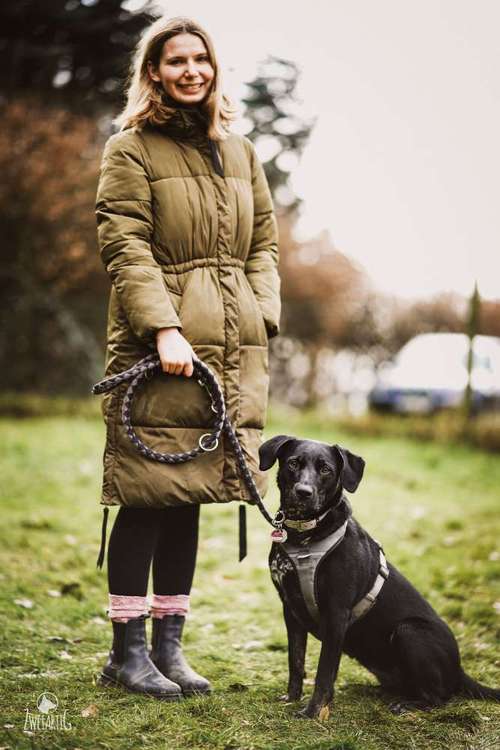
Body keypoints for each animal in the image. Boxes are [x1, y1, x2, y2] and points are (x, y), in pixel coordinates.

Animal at [260, 438, 498, 720]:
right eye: (293, 463)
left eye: (326, 469)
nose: (303, 492)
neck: (304, 536)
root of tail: (460, 669)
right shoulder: (291, 610)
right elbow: (295, 661)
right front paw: (292, 698)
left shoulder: (336, 614)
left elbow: (324, 673)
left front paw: (313, 711)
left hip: (410, 631)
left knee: (439, 697)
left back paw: (408, 704)